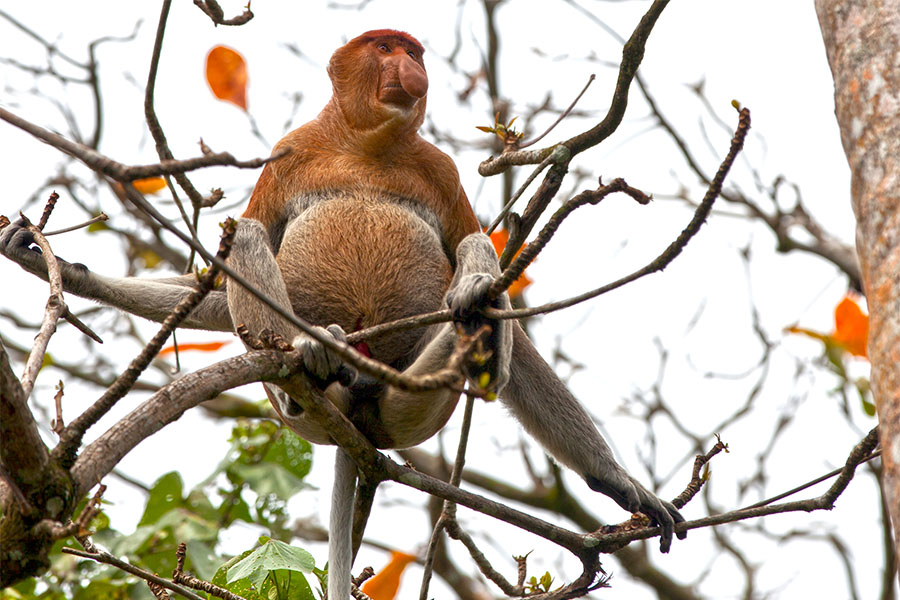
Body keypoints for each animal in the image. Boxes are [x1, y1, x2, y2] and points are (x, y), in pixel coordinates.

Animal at [3, 29, 684, 600]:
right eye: (384, 47)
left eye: (411, 49)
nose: (410, 66)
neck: (367, 145)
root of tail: (357, 418)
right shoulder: (287, 155)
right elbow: (219, 286)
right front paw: (52, 262)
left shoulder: (442, 170)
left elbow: (485, 269)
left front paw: (621, 485)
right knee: (250, 235)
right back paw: (311, 365)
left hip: (414, 412)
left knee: (476, 255)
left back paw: (469, 310)